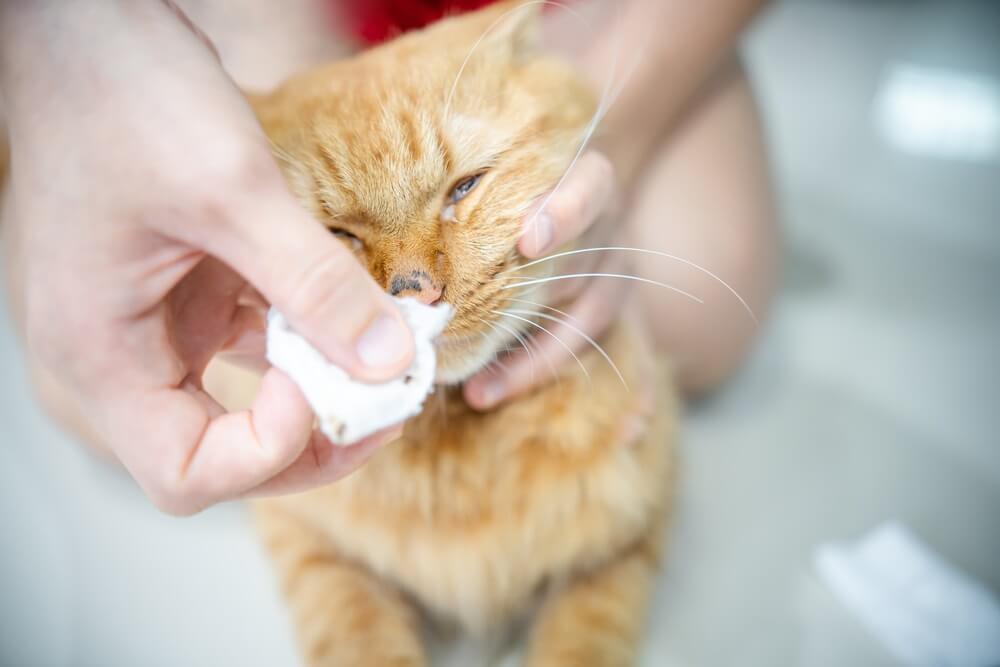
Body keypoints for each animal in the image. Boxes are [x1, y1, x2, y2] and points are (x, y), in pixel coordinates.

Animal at [246, 2, 676, 664]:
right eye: (338, 236)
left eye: (464, 189)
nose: (415, 294)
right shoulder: (314, 548)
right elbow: (362, 636)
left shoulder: (623, 544)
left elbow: (579, 641)